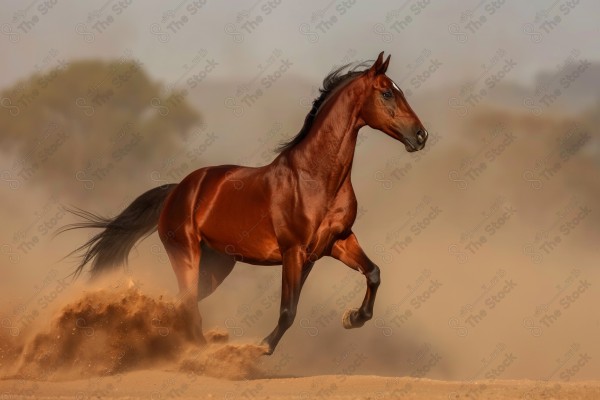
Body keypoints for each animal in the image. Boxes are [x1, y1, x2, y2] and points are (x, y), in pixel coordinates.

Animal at [64, 51, 426, 354]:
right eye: (387, 93)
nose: (420, 136)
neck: (316, 177)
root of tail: (178, 190)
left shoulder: (335, 243)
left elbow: (374, 272)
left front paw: (353, 317)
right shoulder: (294, 251)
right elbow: (288, 310)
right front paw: (261, 347)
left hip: (218, 264)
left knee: (185, 305)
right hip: (186, 254)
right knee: (187, 306)